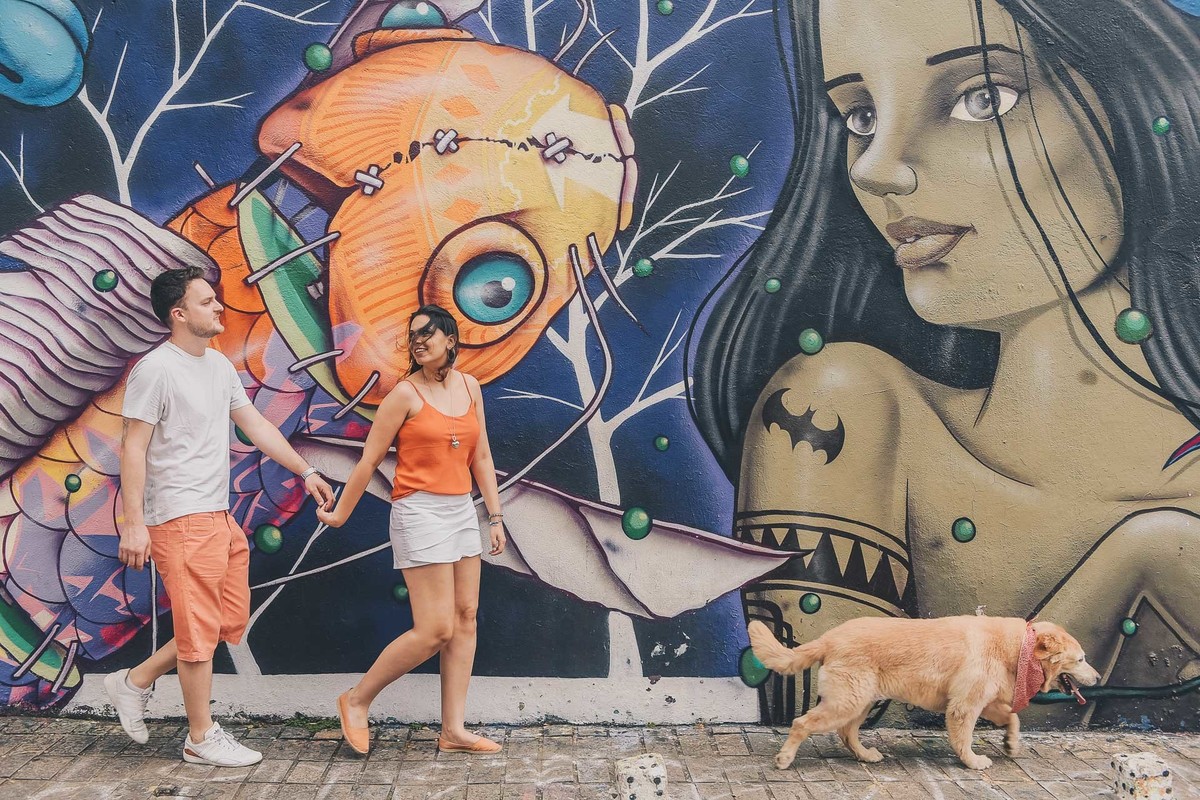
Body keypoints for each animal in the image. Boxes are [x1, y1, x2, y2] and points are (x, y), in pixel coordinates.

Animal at [747, 616, 1100, 770]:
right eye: (1081, 659)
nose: (1098, 677)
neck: (1018, 648)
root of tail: (829, 637)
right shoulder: (964, 706)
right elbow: (964, 739)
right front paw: (972, 761)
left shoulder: (983, 702)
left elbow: (1013, 719)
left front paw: (1011, 744)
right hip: (847, 701)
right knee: (801, 723)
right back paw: (785, 758)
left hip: (860, 701)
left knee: (847, 734)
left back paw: (866, 755)